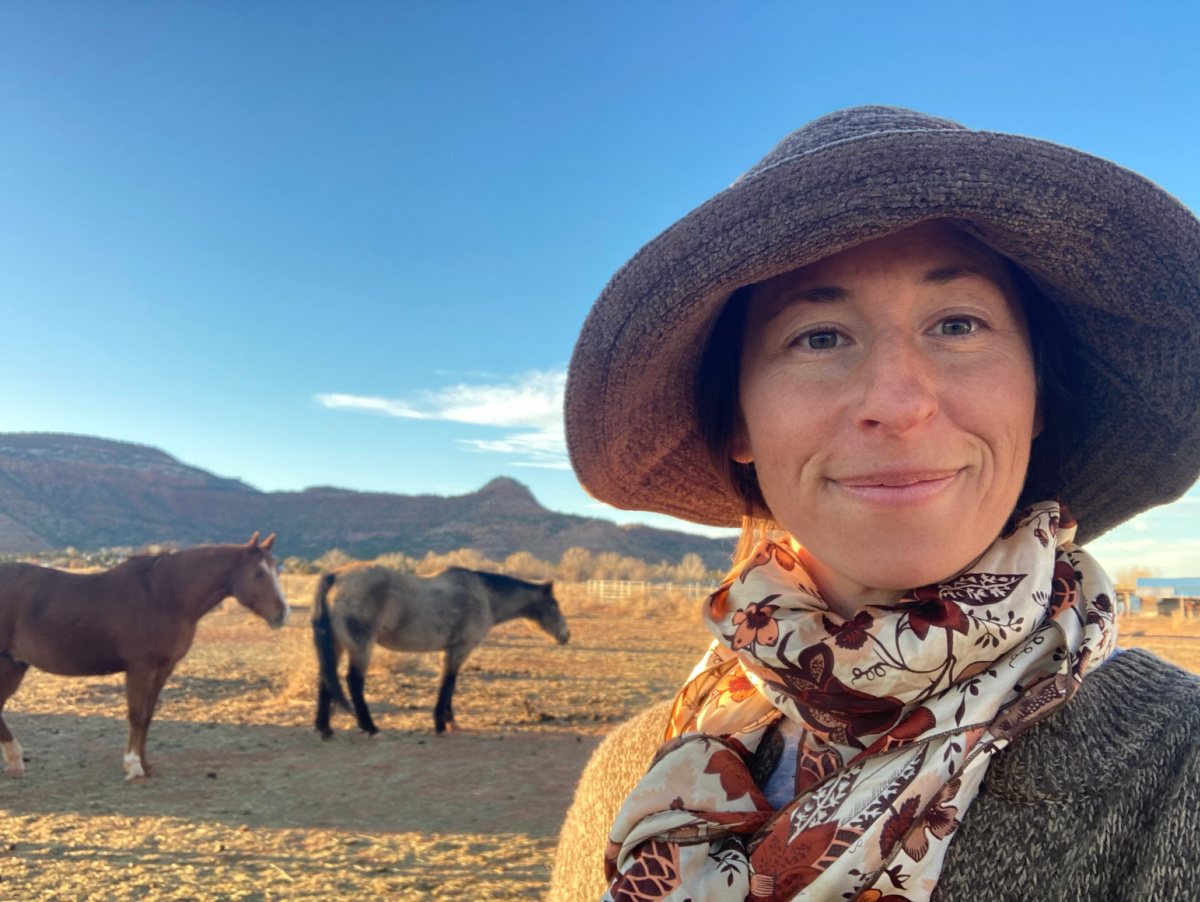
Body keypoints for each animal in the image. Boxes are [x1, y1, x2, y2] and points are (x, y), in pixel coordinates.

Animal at [0, 532, 288, 777]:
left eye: (277, 571)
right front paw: (133, 766)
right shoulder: (141, 668)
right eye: (258, 573)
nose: (282, 614)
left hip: (14, 666)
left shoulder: (163, 669)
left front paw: (146, 765)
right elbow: (136, 715)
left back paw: (14, 762)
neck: (165, 596)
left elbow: (148, 716)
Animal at [312, 566, 568, 734]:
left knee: (326, 678)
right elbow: (448, 683)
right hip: (361, 647)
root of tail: (335, 576)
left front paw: (449, 720)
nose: (566, 635)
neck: (485, 595)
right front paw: (440, 723)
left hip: (336, 646)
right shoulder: (460, 650)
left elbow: (449, 683)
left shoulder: (449, 651)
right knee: (354, 681)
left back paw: (324, 727)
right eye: (555, 605)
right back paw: (369, 726)